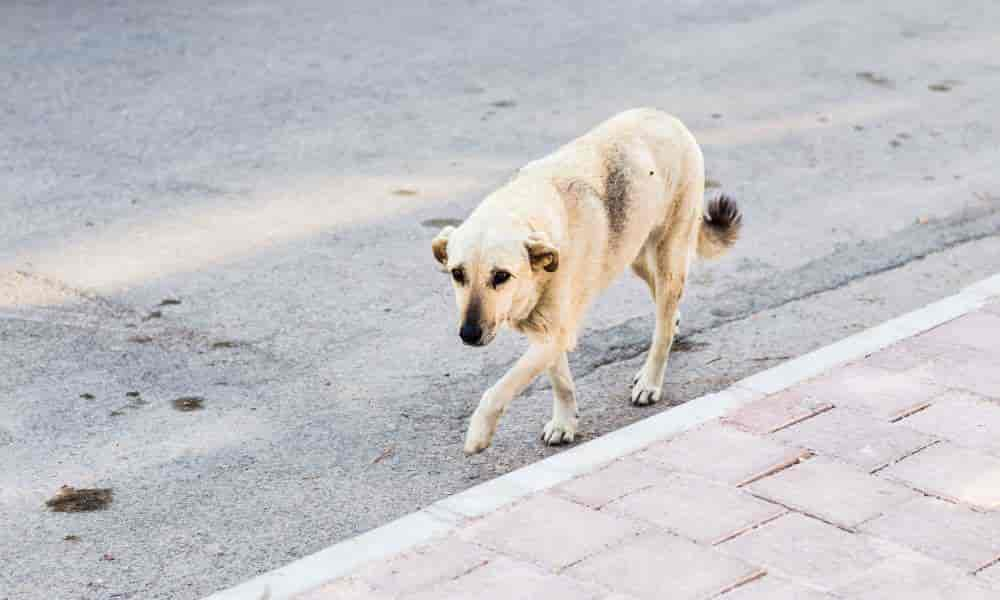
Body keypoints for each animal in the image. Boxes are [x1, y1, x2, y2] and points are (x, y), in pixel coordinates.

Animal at [432, 109, 744, 454]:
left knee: (662, 327)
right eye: (457, 274)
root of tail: (663, 116)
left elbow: (501, 387)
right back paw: (672, 325)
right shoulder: (547, 332)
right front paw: (565, 423)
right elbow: (561, 382)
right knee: (664, 305)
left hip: (669, 256)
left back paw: (651, 379)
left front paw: (479, 432)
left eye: (501, 276)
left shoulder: (555, 333)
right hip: (635, 254)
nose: (468, 334)